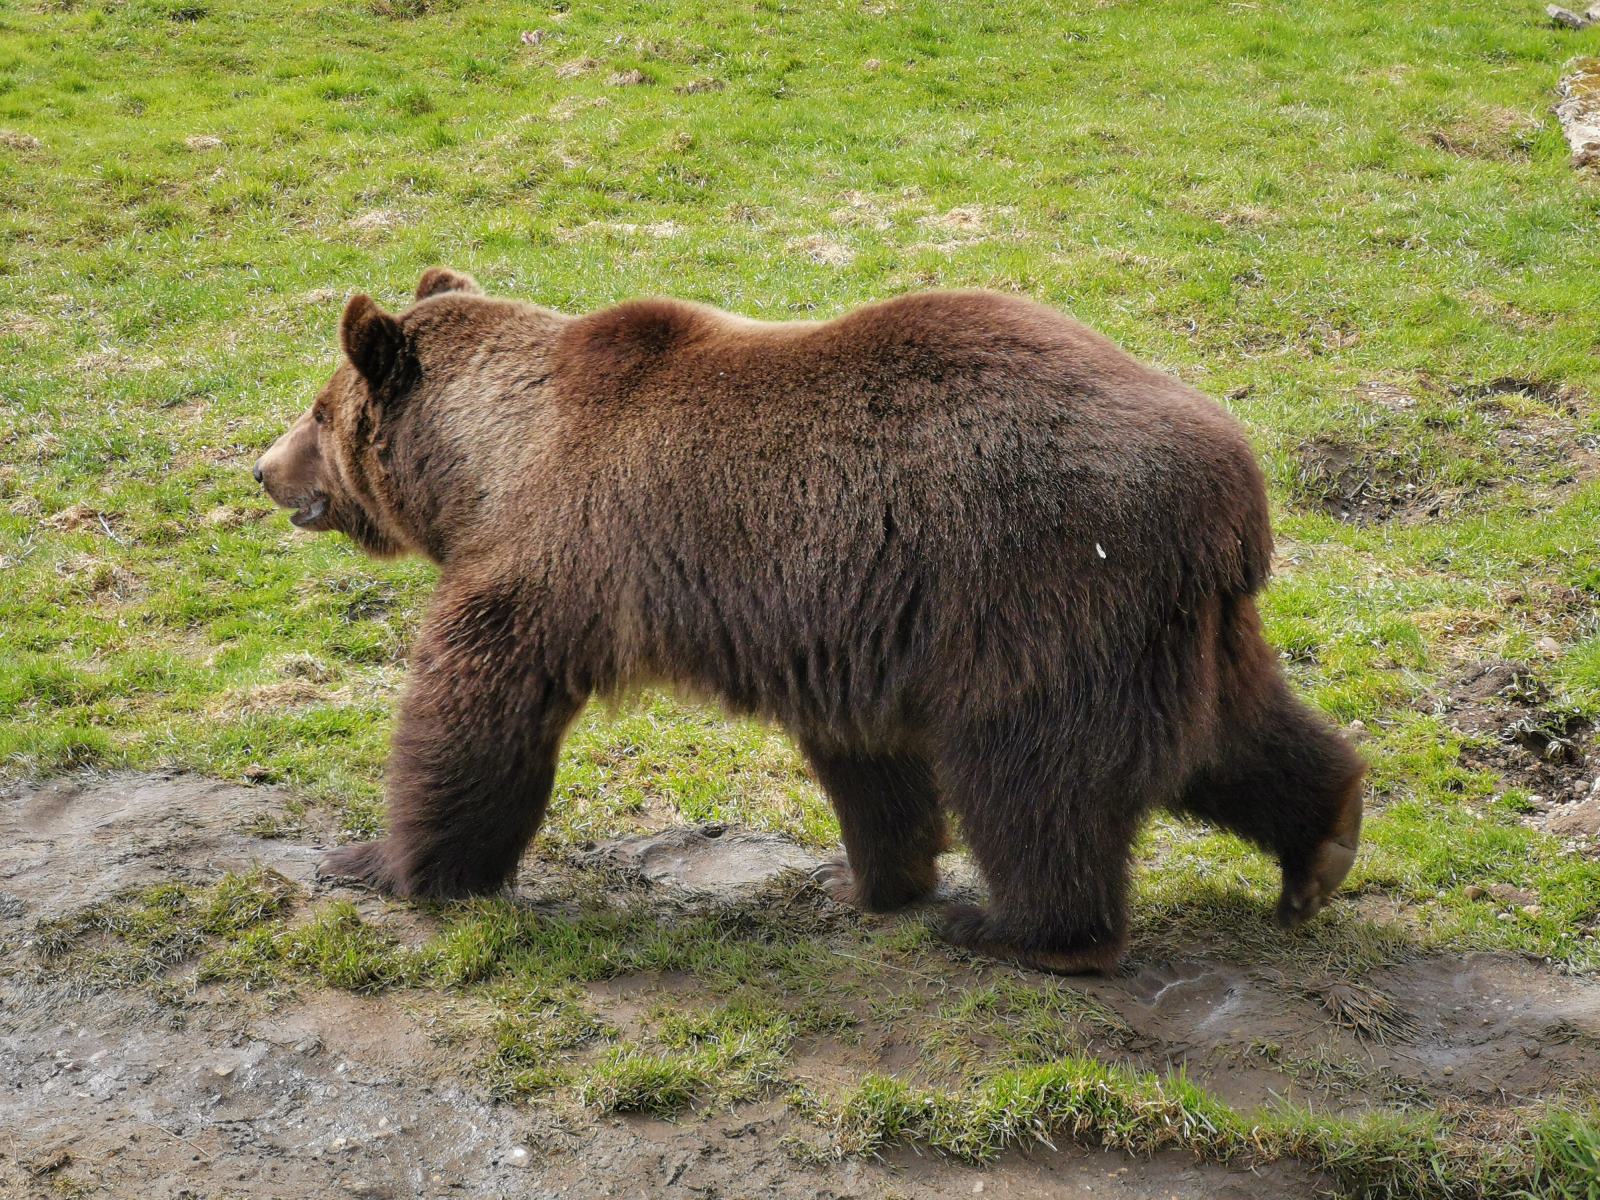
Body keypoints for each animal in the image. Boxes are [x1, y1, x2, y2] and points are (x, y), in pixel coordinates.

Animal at [259, 267, 1363, 972]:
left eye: (318, 410)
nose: (264, 469)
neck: (492, 461)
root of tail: (1236, 490)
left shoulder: (560, 558)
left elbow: (477, 709)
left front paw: (379, 862)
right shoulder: (836, 618)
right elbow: (868, 767)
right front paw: (866, 879)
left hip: (1045, 596)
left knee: (1036, 784)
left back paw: (1026, 934)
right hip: (1180, 628)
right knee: (1242, 739)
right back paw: (1322, 848)